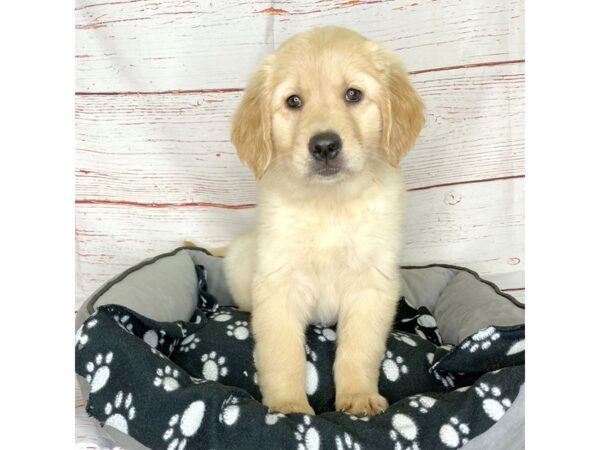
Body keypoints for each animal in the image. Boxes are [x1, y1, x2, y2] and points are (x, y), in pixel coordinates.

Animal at [223, 26, 424, 416]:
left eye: (353, 94)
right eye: (293, 102)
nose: (325, 146)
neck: (330, 202)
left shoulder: (372, 284)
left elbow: (359, 350)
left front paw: (359, 397)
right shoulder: (278, 284)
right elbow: (283, 354)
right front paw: (288, 406)